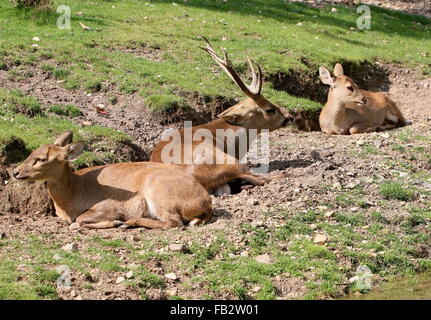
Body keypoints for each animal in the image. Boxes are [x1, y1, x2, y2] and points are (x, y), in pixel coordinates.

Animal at [14, 132, 213, 230]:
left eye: (41, 159)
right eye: (31, 152)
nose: (16, 172)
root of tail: (205, 202)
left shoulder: (109, 206)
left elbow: (79, 220)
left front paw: (115, 222)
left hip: (159, 194)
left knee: (174, 222)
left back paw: (129, 222)